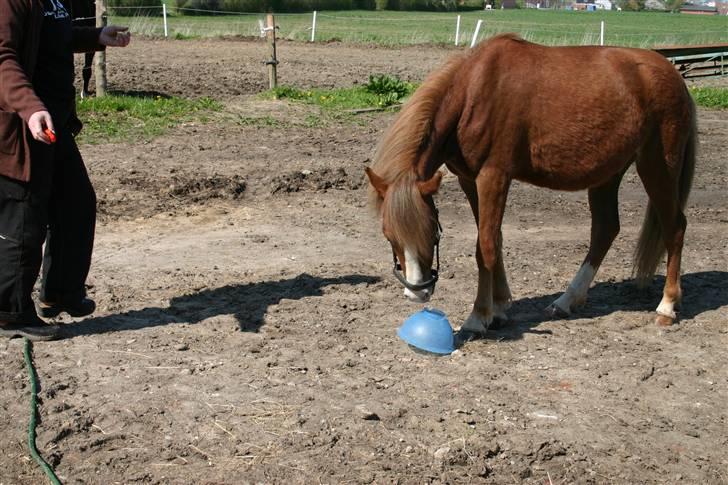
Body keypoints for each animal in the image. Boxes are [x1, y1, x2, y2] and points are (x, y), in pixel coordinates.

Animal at [366, 33, 696, 332]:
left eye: (432, 230)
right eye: (388, 235)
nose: (417, 291)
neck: (472, 92)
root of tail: (671, 74)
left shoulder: (493, 176)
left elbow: (485, 245)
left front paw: (479, 316)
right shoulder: (468, 180)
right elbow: (494, 239)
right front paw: (499, 307)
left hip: (657, 167)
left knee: (675, 227)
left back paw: (667, 306)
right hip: (608, 173)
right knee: (605, 229)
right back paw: (566, 301)